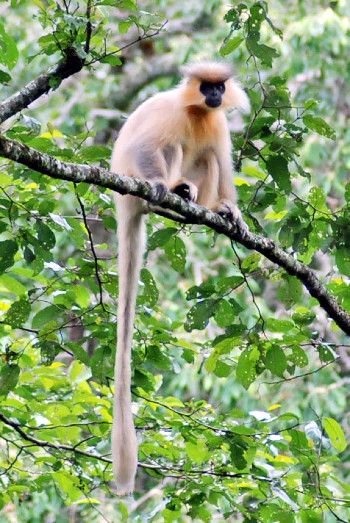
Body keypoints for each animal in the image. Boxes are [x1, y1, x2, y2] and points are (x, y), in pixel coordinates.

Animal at [109, 62, 249, 496]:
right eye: (205, 87)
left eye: (219, 87)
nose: (215, 96)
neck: (199, 113)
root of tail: (124, 204)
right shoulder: (171, 115)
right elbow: (146, 146)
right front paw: (161, 184)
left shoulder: (217, 124)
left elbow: (222, 164)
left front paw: (232, 210)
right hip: (135, 181)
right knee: (167, 150)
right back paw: (170, 191)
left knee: (208, 159)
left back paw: (206, 208)